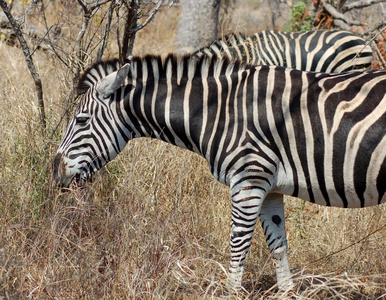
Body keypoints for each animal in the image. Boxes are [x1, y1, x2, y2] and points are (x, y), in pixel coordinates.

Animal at [53, 54, 386, 290]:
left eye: (81, 120)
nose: (56, 174)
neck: (219, 112)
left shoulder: (248, 180)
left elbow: (238, 247)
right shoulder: (269, 187)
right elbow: (278, 246)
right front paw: (288, 292)